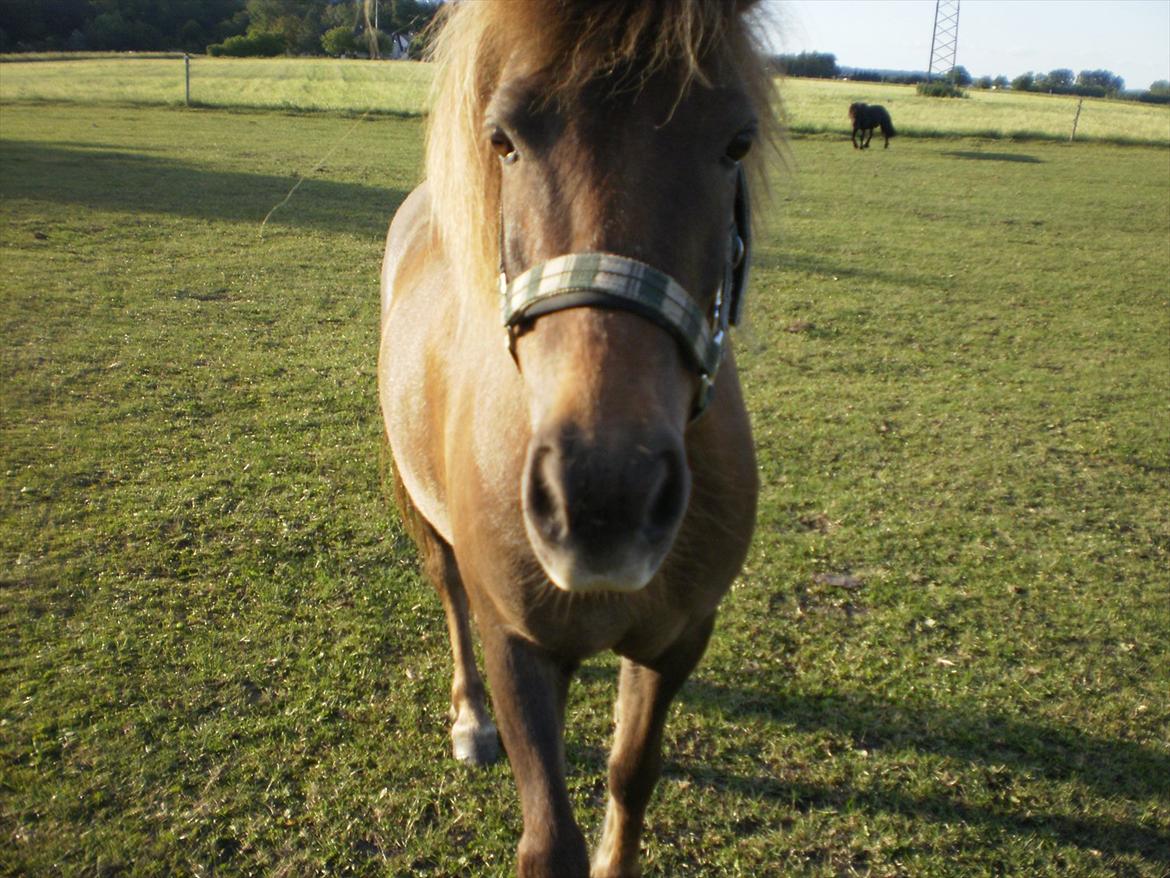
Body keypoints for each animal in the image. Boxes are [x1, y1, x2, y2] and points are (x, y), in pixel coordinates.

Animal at [378, 2, 776, 875]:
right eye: (503, 138)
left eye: (737, 140)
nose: (604, 499)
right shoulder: (516, 645)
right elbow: (547, 839)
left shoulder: (679, 639)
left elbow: (632, 775)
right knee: (449, 592)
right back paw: (470, 718)